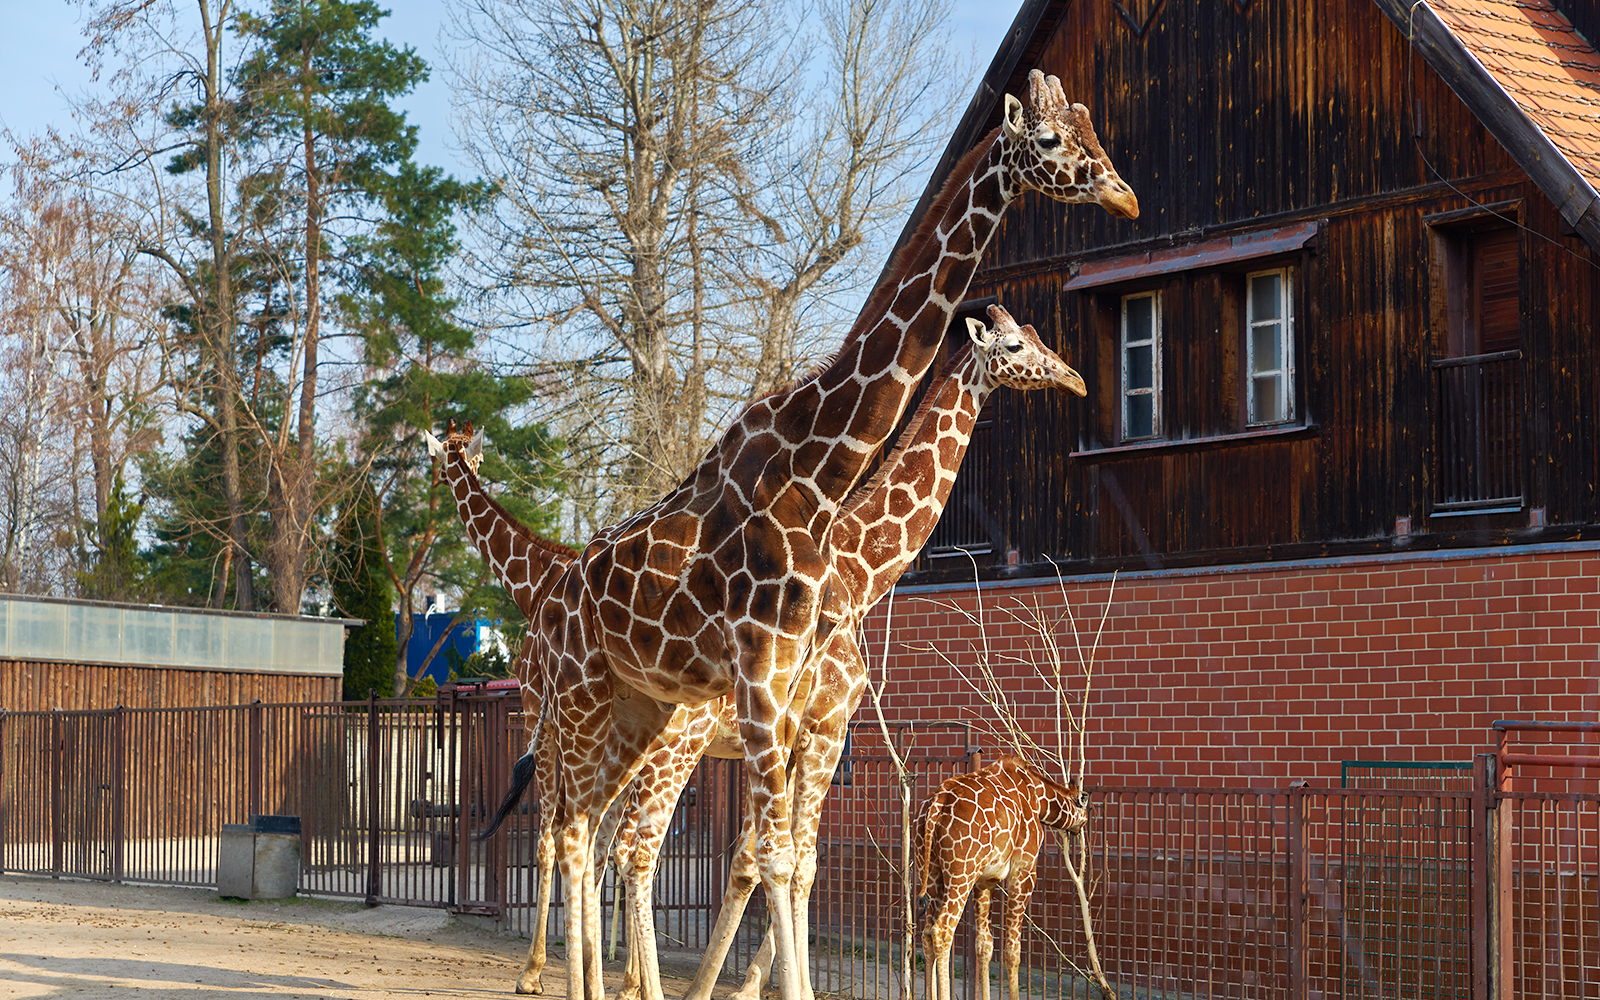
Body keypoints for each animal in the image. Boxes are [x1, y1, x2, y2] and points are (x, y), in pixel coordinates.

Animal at [915, 756, 1090, 1000]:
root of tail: (936, 805)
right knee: (942, 931)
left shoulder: (984, 880)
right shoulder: (1024, 870)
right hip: (960, 873)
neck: (1037, 796)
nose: (1081, 824)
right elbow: (1012, 950)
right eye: (1084, 804)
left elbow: (984, 945)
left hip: (932, 874)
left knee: (927, 933)